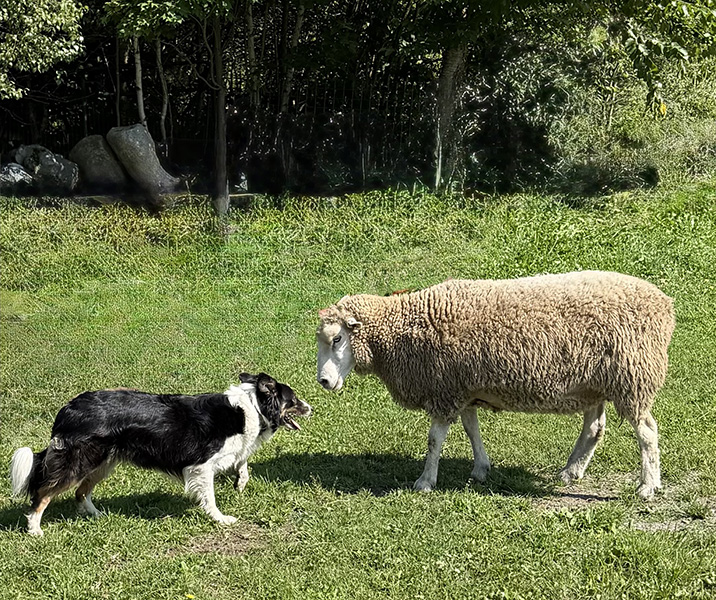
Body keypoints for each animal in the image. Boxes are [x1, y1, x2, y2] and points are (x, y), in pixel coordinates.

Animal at [316, 271, 675, 500]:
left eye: (337, 339)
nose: (324, 381)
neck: (402, 330)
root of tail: (664, 304)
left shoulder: (444, 389)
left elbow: (434, 440)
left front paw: (425, 481)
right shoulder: (462, 388)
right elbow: (471, 429)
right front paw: (480, 469)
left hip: (633, 377)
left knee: (647, 432)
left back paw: (648, 487)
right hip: (592, 383)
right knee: (595, 427)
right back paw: (571, 471)